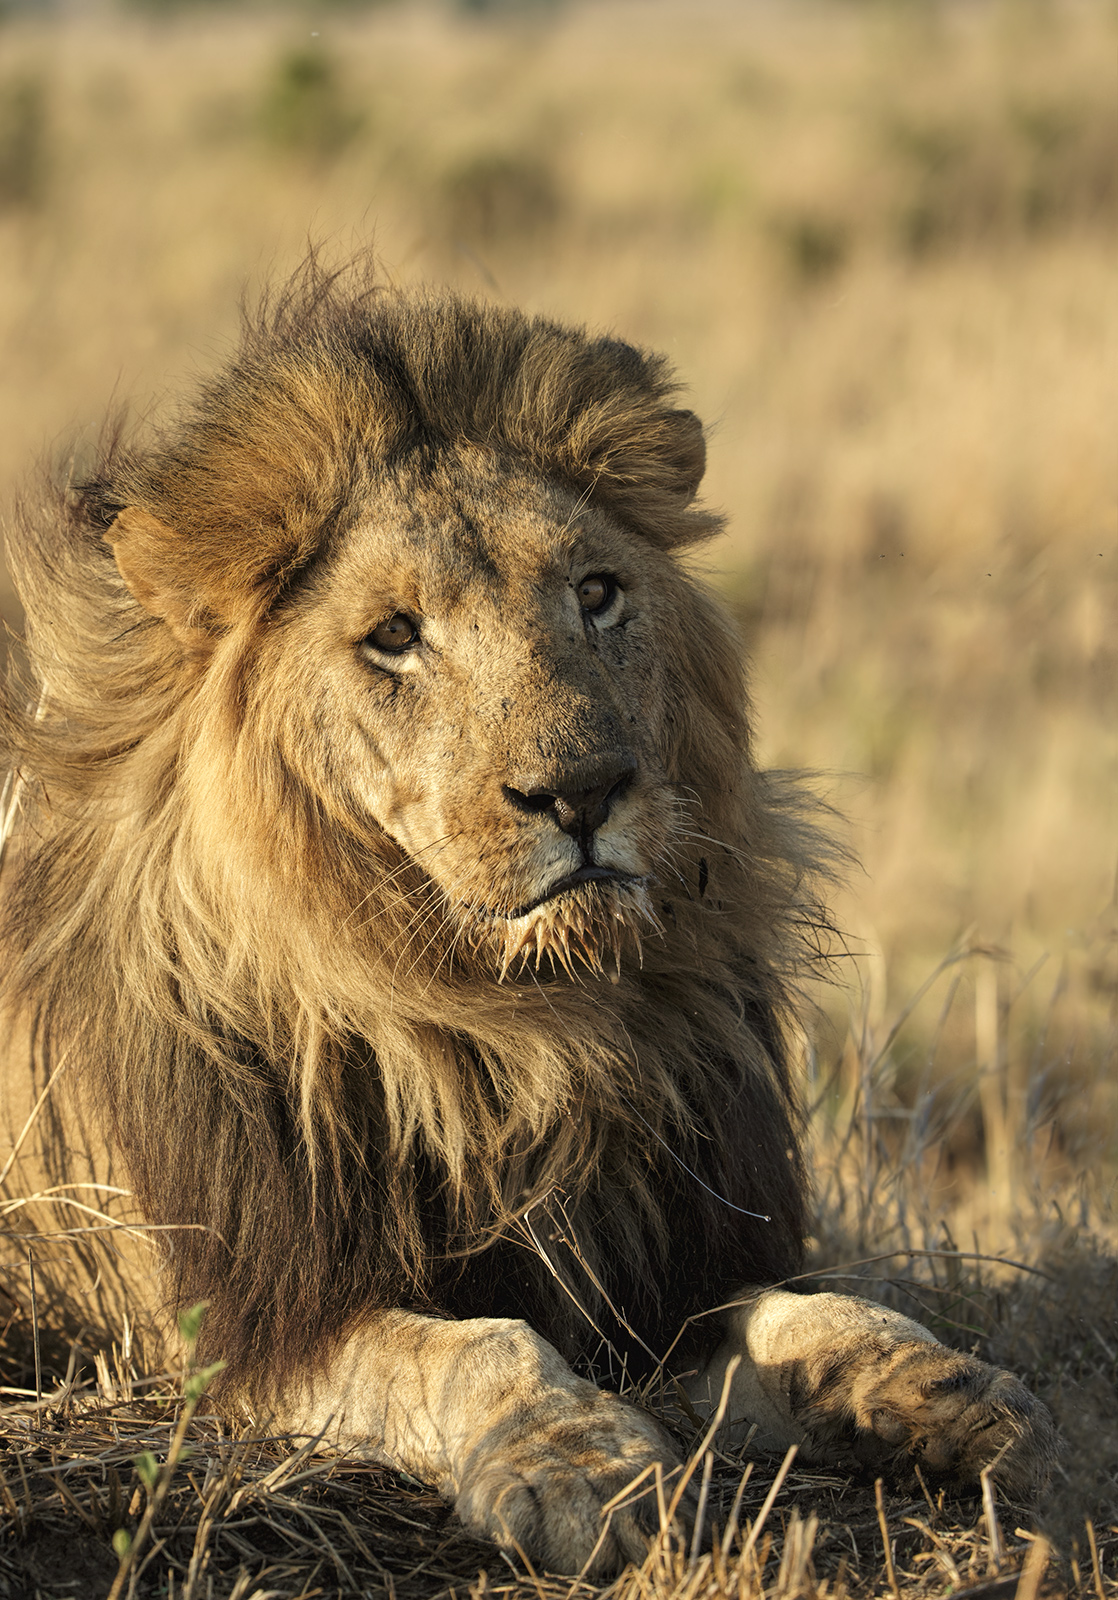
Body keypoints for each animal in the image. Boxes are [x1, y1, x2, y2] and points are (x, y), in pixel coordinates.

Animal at [0, 266, 1054, 1575]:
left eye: (595, 594)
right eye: (393, 637)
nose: (583, 790)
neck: (511, 1027)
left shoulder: (658, 1264)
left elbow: (798, 1310)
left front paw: (937, 1384)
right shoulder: (247, 1325)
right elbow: (470, 1349)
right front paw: (582, 1467)